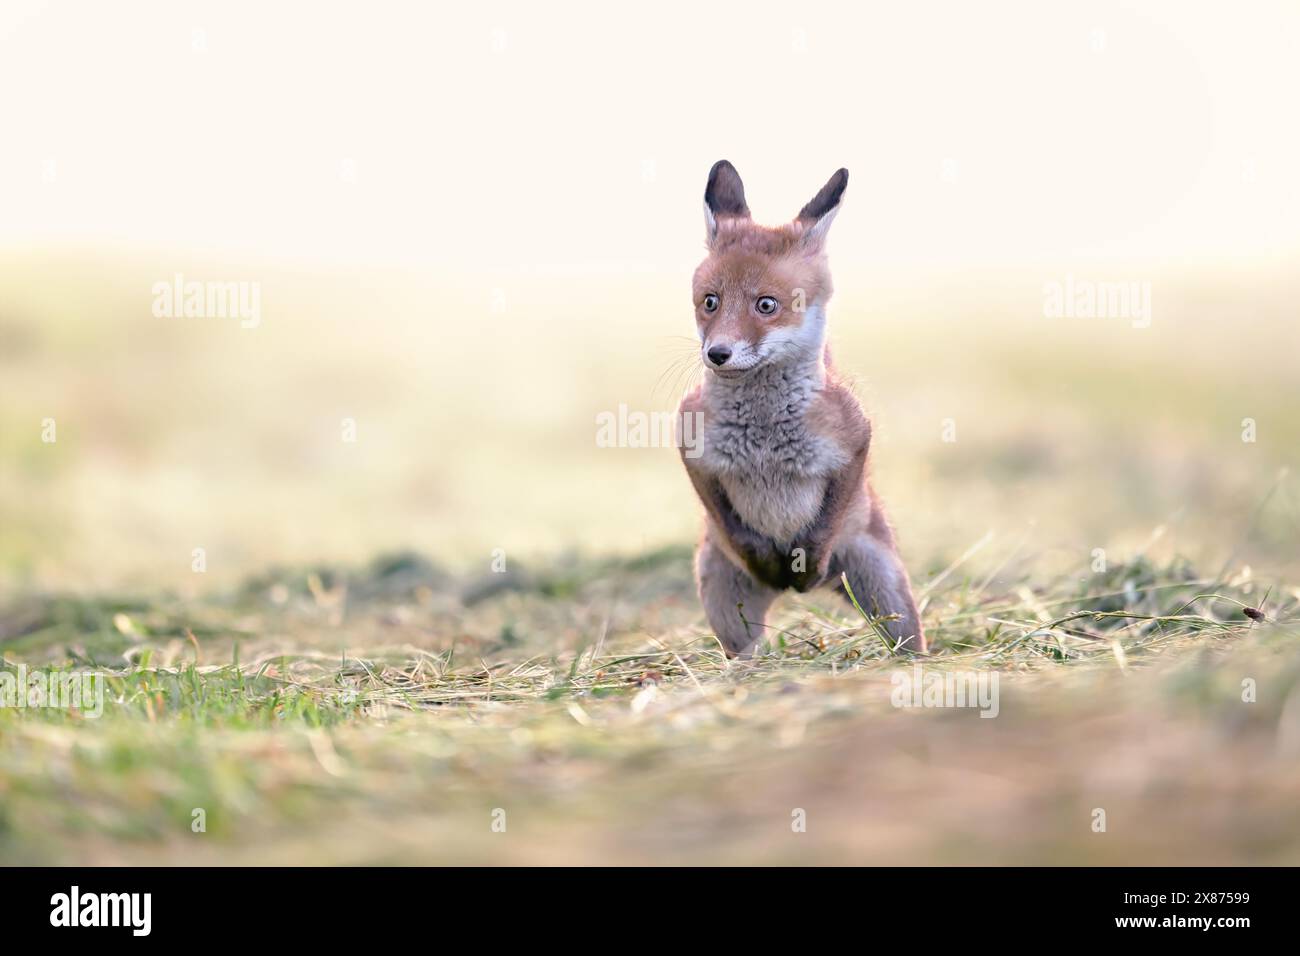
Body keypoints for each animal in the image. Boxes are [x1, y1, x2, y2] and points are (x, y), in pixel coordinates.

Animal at [681, 160, 925, 660]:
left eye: (766, 305)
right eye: (710, 301)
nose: (717, 354)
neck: (765, 434)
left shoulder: (855, 438)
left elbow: (824, 525)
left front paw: (806, 563)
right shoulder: (690, 443)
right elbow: (732, 522)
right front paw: (767, 559)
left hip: (888, 595)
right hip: (723, 597)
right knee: (746, 650)